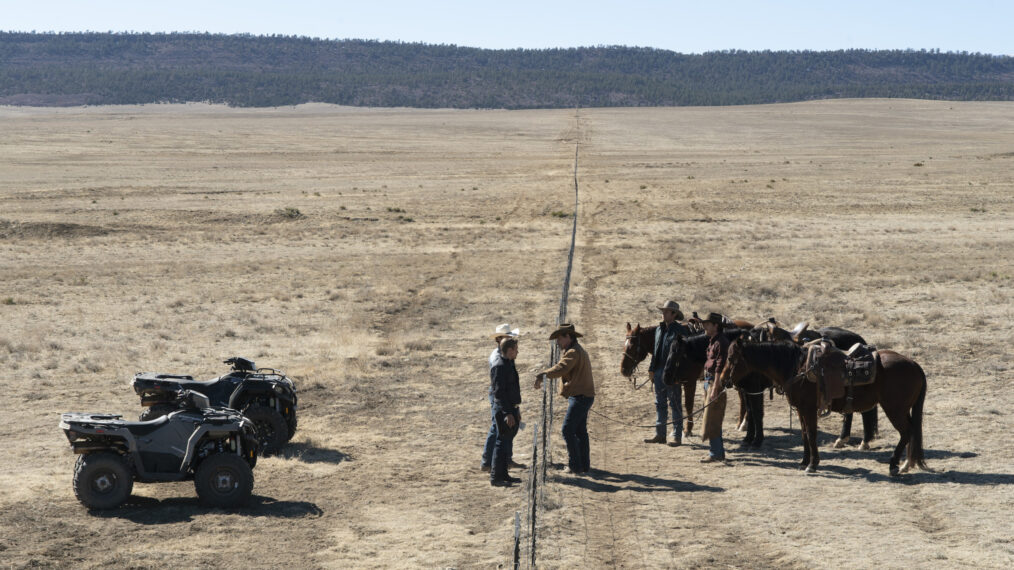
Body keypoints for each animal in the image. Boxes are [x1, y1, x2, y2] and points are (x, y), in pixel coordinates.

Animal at [721, 336, 928, 474]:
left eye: (731, 359)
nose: (723, 380)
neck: (797, 368)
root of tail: (914, 364)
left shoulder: (809, 409)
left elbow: (812, 434)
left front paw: (812, 465)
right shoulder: (800, 410)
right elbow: (804, 434)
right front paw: (804, 462)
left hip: (895, 409)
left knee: (906, 432)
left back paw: (894, 465)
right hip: (903, 410)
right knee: (912, 432)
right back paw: (905, 465)